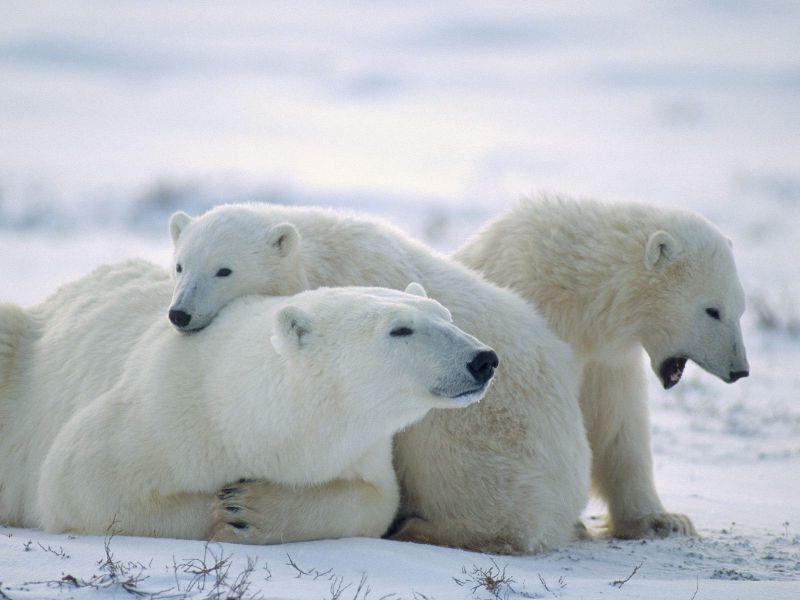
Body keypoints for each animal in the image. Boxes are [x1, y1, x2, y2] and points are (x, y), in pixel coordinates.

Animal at [0, 262, 494, 540]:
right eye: (400, 329)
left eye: (446, 315)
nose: (483, 359)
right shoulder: (160, 417)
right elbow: (78, 483)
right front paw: (223, 512)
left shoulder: (358, 451)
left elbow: (374, 501)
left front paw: (250, 510)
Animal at [166, 204, 588, 556]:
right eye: (180, 265)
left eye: (224, 269)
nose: (179, 313)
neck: (315, 256)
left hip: (490, 437)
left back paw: (422, 529)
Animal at [456, 197, 752, 540]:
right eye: (712, 310)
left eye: (741, 309)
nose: (739, 370)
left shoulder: (606, 361)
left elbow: (618, 425)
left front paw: (663, 520)